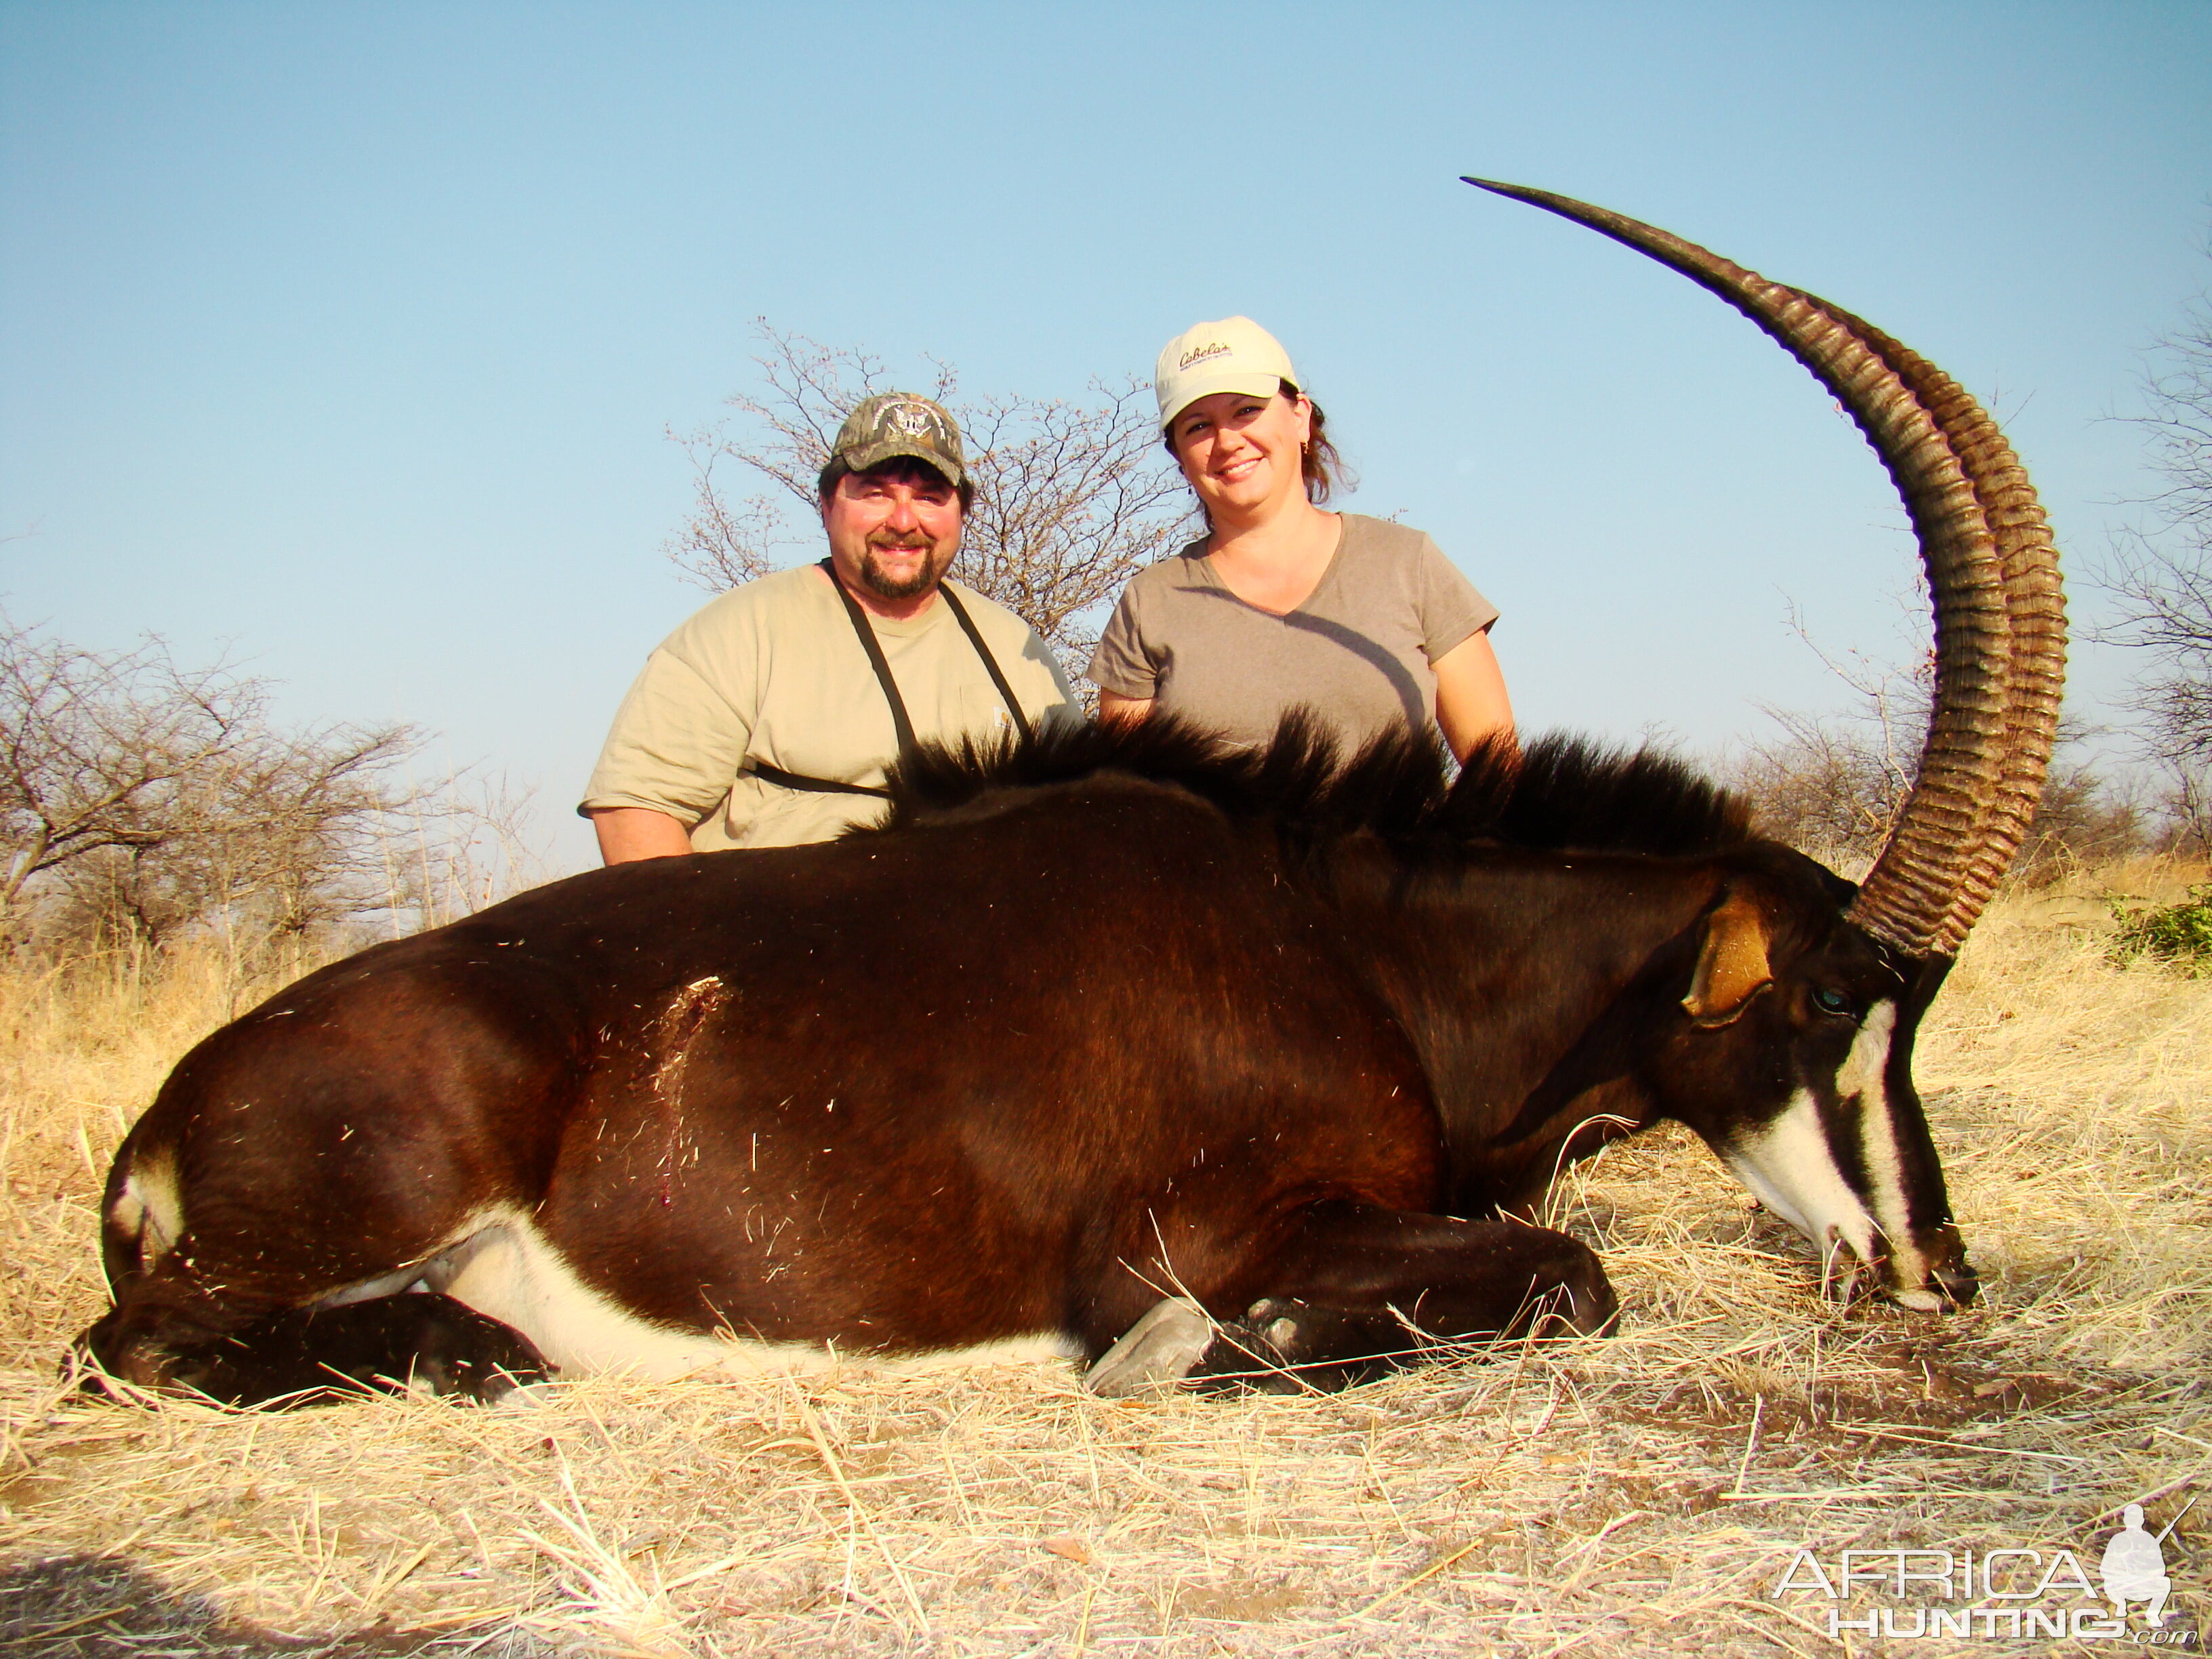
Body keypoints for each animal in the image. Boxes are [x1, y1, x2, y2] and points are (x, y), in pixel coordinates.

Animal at [81, 181, 2052, 1406]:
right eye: (1825, 1003)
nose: (1936, 1270)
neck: (1342, 934)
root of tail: (170, 1114)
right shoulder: (1202, 1233)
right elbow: (1563, 1274)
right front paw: (1192, 1352)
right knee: (148, 1346)